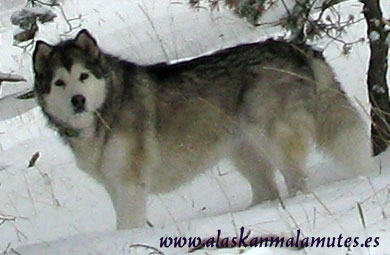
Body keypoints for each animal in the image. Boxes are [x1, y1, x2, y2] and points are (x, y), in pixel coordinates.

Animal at [33, 29, 374, 229]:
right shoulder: (113, 185)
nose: (77, 100)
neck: (107, 109)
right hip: (244, 152)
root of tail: (293, 46)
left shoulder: (131, 184)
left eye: (83, 76)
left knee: (298, 182)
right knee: (267, 191)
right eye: (59, 82)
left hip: (274, 139)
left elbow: (129, 225)